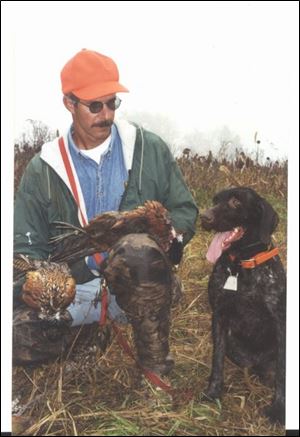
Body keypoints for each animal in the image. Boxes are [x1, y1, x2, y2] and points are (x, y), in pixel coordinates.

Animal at [199, 186, 286, 422]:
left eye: (236, 202)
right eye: (215, 200)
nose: (204, 217)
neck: (241, 266)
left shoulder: (280, 322)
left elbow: (283, 372)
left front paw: (278, 409)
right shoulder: (219, 316)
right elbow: (217, 361)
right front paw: (213, 392)